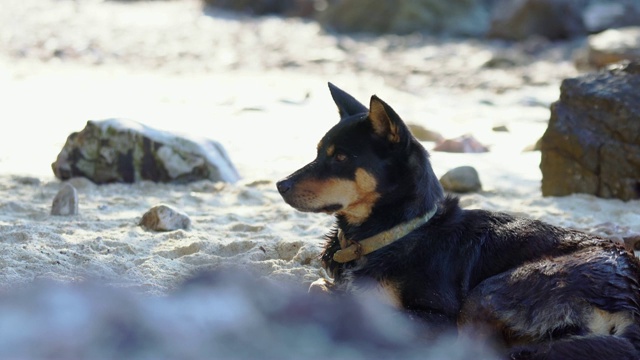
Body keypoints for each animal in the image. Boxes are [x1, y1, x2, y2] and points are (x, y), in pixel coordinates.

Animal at [276, 83, 640, 358]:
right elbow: (319, 286)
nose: (281, 185)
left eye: (340, 157)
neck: (397, 231)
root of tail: (631, 300)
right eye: (319, 152)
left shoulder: (437, 317)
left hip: (490, 292)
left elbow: (339, 296)